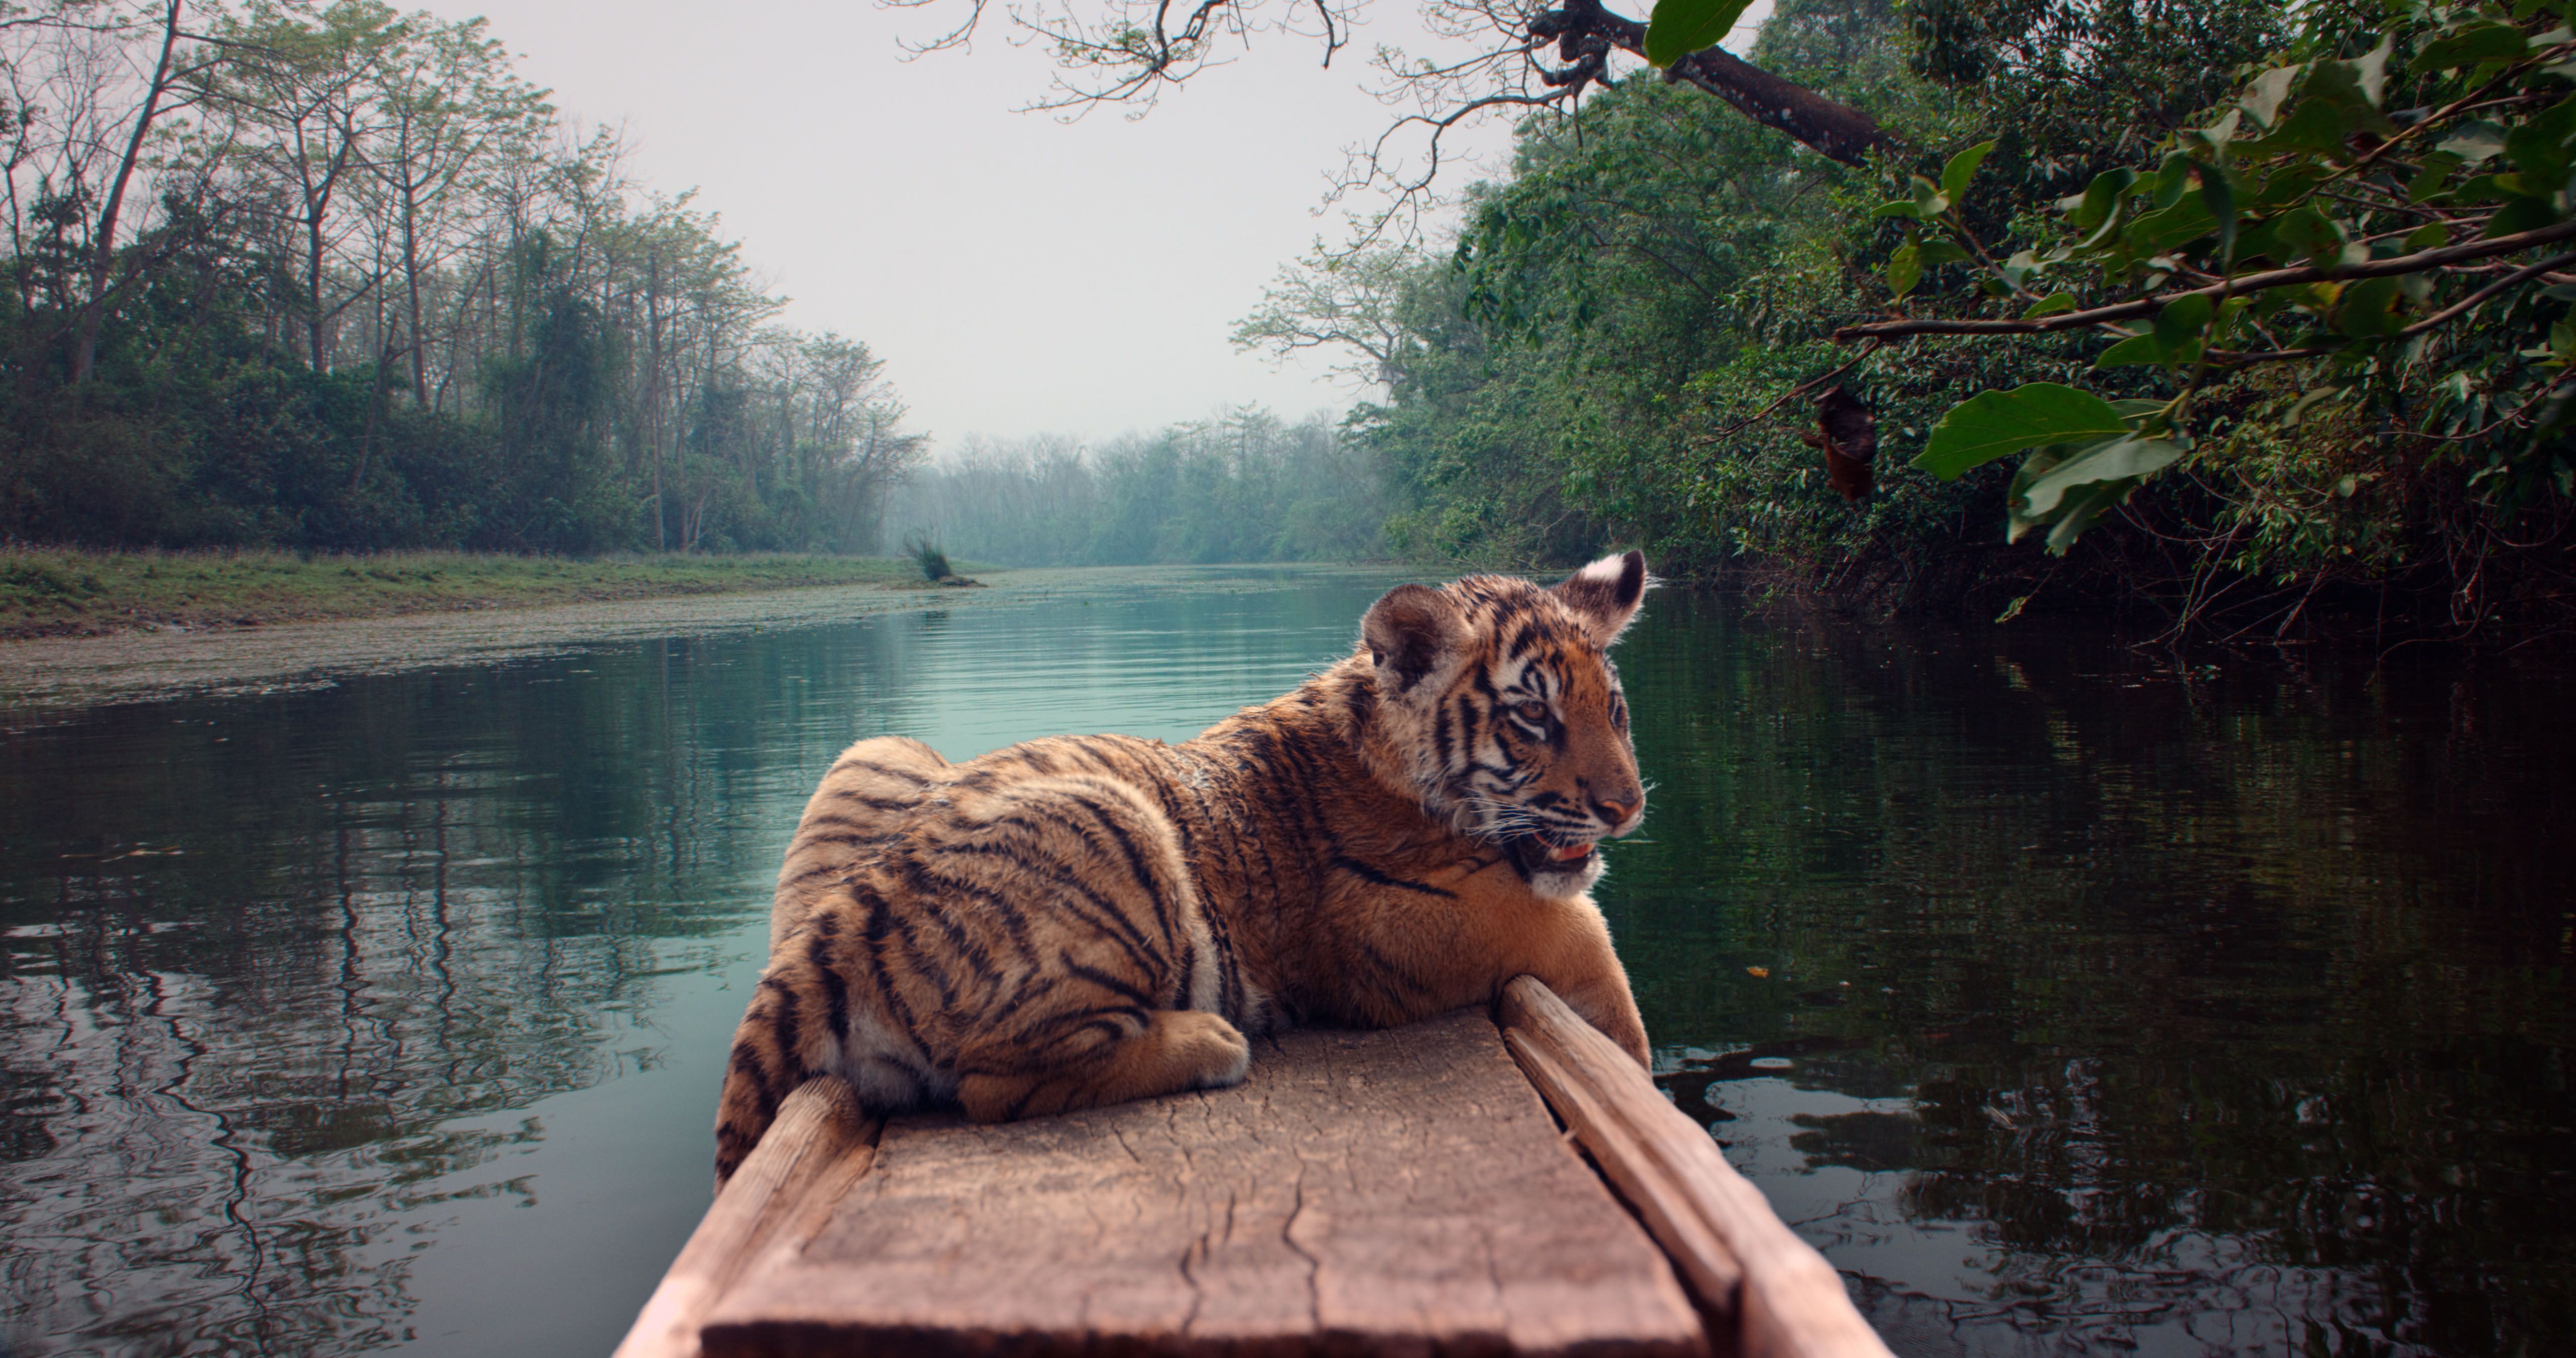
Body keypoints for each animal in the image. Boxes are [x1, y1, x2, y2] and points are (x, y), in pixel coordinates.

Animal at [713, 551, 1656, 1189]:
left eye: (1613, 710)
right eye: (1533, 717)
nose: (1628, 808)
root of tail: (822, 936)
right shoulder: (1403, 922)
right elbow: (1586, 940)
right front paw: (1636, 1070)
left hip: (877, 749)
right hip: (1112, 818)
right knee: (991, 1085)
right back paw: (1209, 1043)